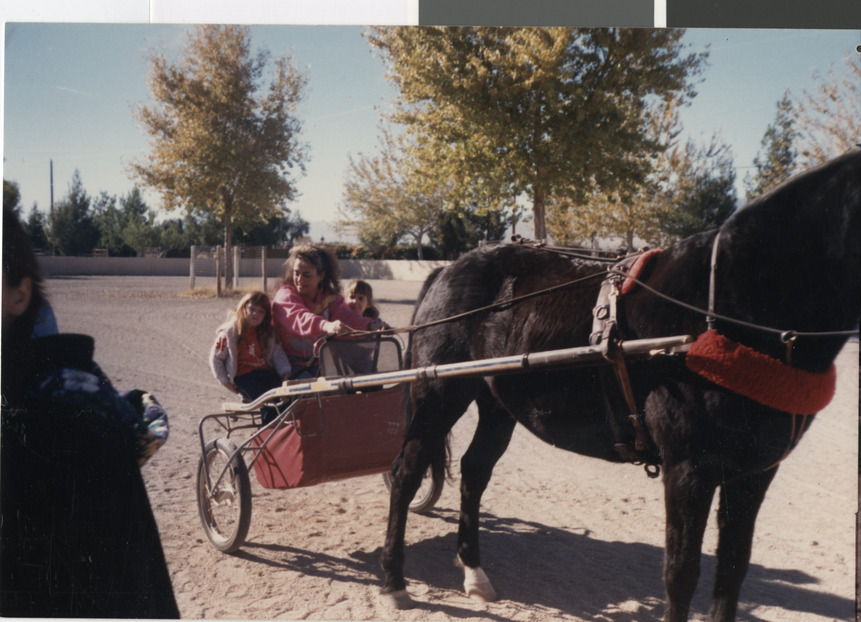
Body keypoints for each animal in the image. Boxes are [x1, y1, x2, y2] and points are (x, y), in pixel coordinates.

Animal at [382, 151, 860, 622]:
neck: (719, 311)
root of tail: (448, 269)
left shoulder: (753, 473)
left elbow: (732, 569)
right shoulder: (689, 468)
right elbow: (681, 572)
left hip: (498, 403)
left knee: (474, 471)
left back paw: (474, 573)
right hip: (439, 396)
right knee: (406, 474)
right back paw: (393, 581)